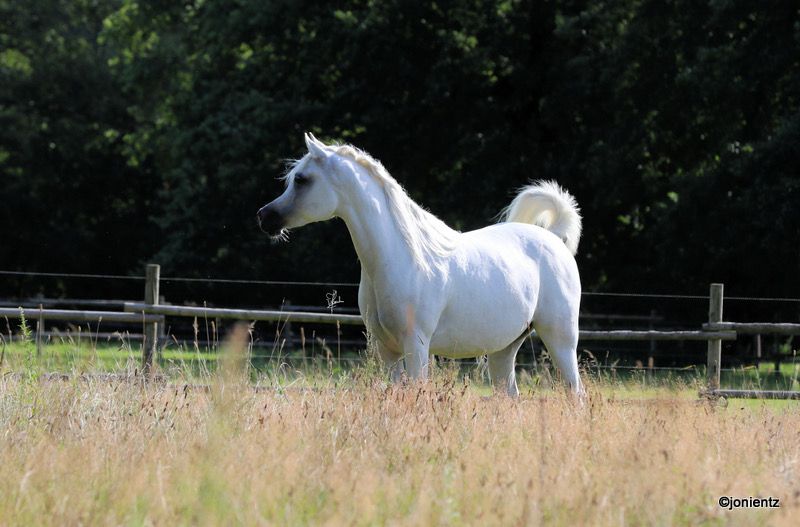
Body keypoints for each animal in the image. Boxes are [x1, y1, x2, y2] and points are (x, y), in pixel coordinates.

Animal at [257, 133, 584, 397]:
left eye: (301, 179)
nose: (264, 217)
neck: (400, 257)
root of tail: (554, 238)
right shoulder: (387, 350)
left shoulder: (416, 347)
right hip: (505, 348)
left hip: (561, 339)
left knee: (576, 393)